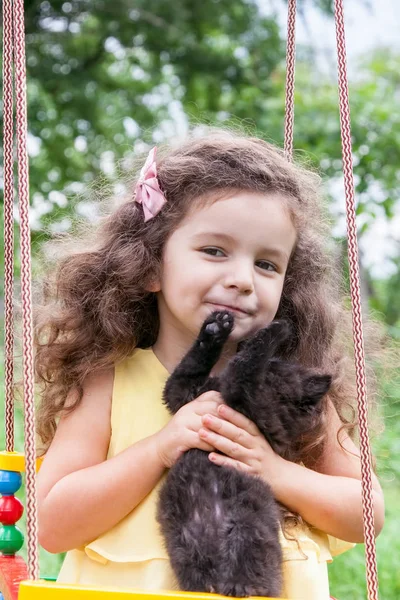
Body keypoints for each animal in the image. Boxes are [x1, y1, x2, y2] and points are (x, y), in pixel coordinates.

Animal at [157, 312, 332, 596]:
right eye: (274, 363)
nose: (273, 361)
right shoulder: (186, 393)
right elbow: (190, 367)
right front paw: (215, 328)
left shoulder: (252, 399)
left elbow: (243, 367)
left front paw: (275, 329)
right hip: (187, 553)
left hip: (247, 525)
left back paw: (241, 586)